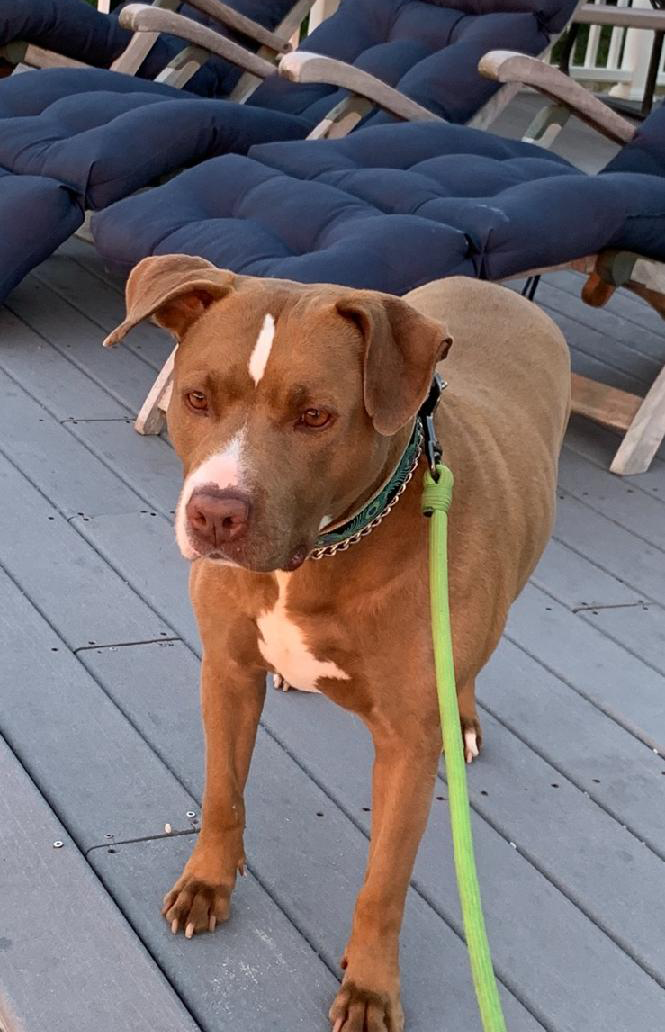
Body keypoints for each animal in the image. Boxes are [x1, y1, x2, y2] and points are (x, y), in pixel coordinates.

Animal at [107, 255, 570, 1032]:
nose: (214, 513)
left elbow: (384, 882)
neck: (323, 553)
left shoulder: (409, 748)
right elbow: (222, 793)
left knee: (477, 659)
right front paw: (207, 882)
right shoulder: (226, 671)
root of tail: (505, 293)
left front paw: (372, 986)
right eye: (196, 398)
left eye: (315, 416)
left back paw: (466, 719)